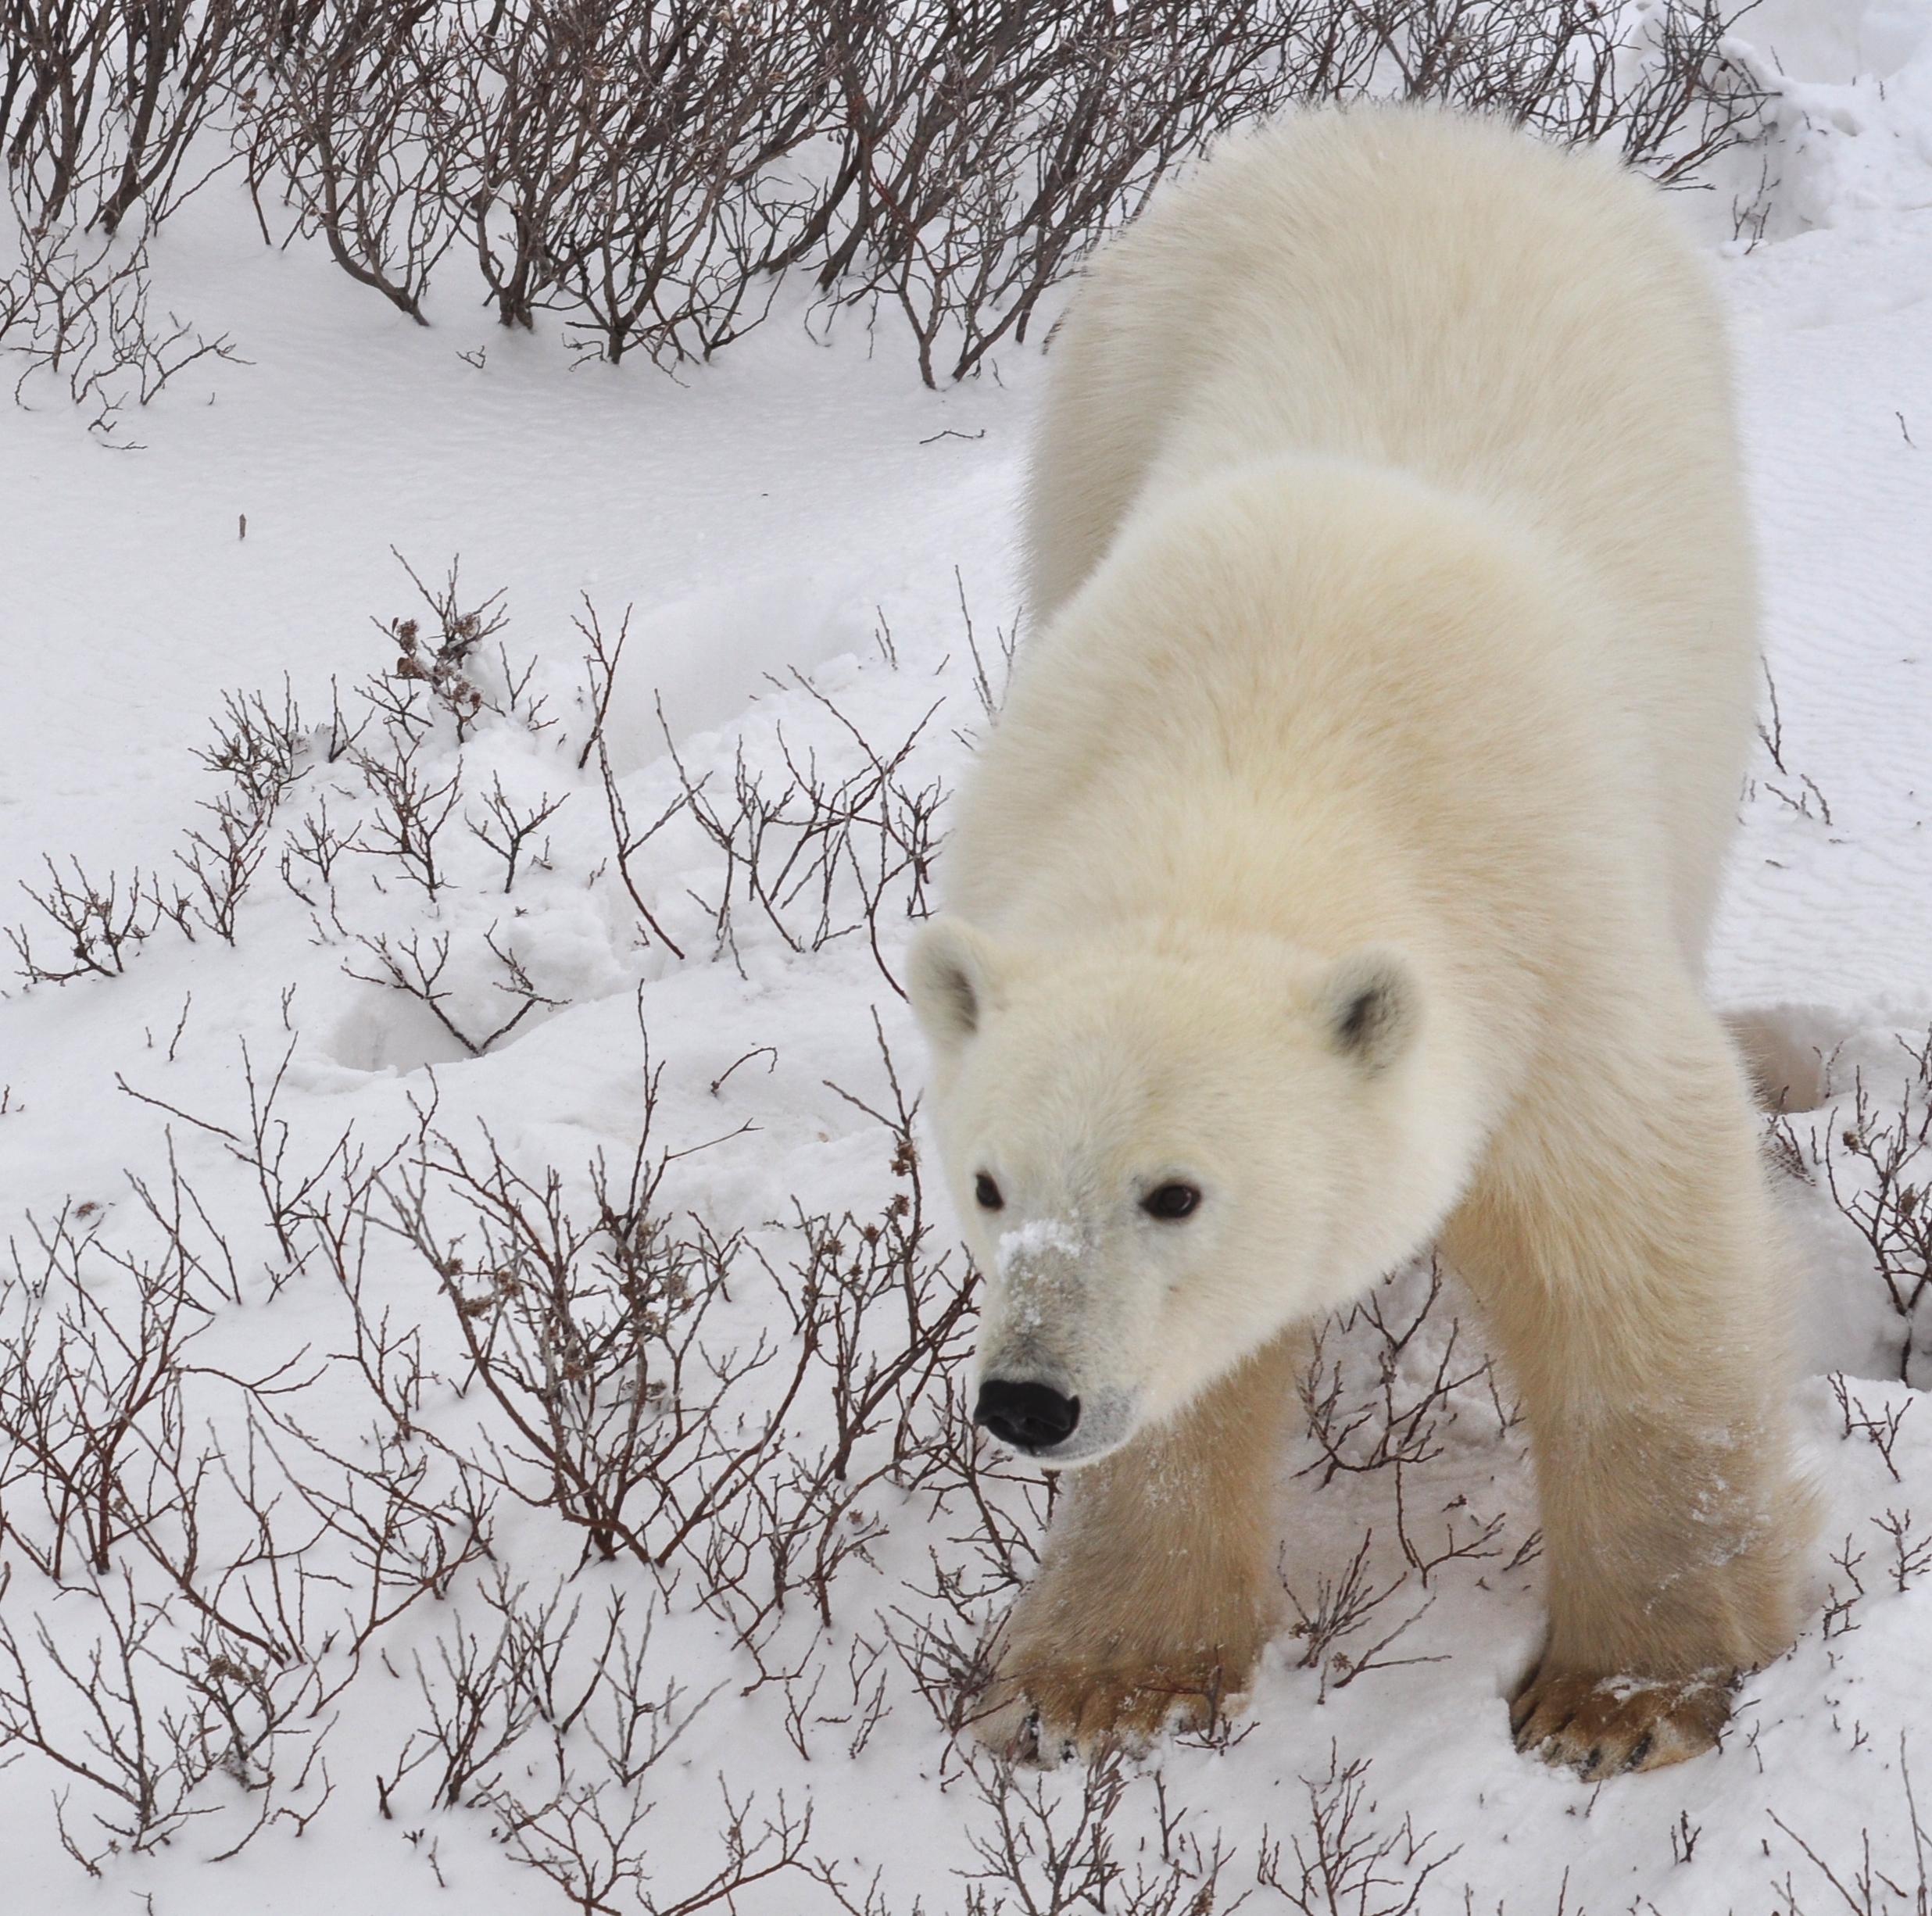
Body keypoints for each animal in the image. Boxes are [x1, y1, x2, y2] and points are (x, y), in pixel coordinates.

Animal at [903, 109, 1808, 1784]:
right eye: (987, 1183)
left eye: (1174, 1190)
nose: (1029, 1401)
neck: (1258, 771)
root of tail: (1410, 122)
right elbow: (1196, 1381)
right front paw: (1103, 1678)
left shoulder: (1549, 955)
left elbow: (1631, 1265)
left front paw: (1623, 1698)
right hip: (1093, 410)